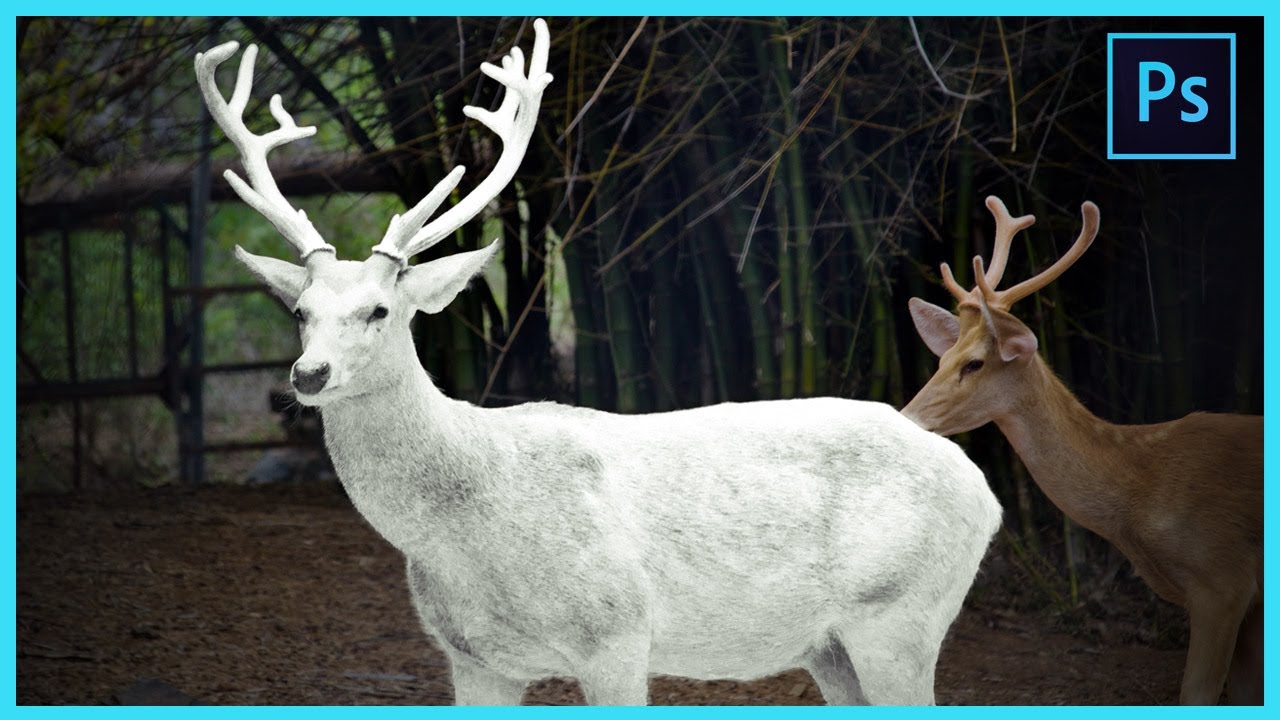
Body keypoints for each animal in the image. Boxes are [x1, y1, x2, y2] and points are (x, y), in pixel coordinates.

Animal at [194, 20, 1002, 706]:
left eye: (379, 311)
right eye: (300, 312)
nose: (308, 376)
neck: (466, 539)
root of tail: (985, 493)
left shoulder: (616, 629)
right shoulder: (472, 657)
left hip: (899, 613)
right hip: (831, 645)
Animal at [902, 196, 1263, 705]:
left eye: (974, 364)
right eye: (942, 360)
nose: (906, 417)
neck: (1143, 492)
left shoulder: (1224, 579)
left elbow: (1197, 692)